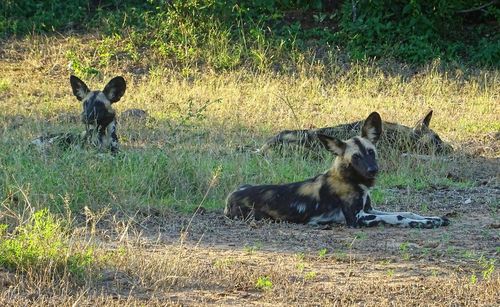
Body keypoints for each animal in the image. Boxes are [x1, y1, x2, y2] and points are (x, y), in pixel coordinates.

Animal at [227, 113, 450, 229]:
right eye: (437, 138)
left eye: (371, 152)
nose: (373, 170)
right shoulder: (358, 218)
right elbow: (398, 217)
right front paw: (422, 223)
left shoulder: (369, 210)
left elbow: (405, 211)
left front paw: (433, 219)